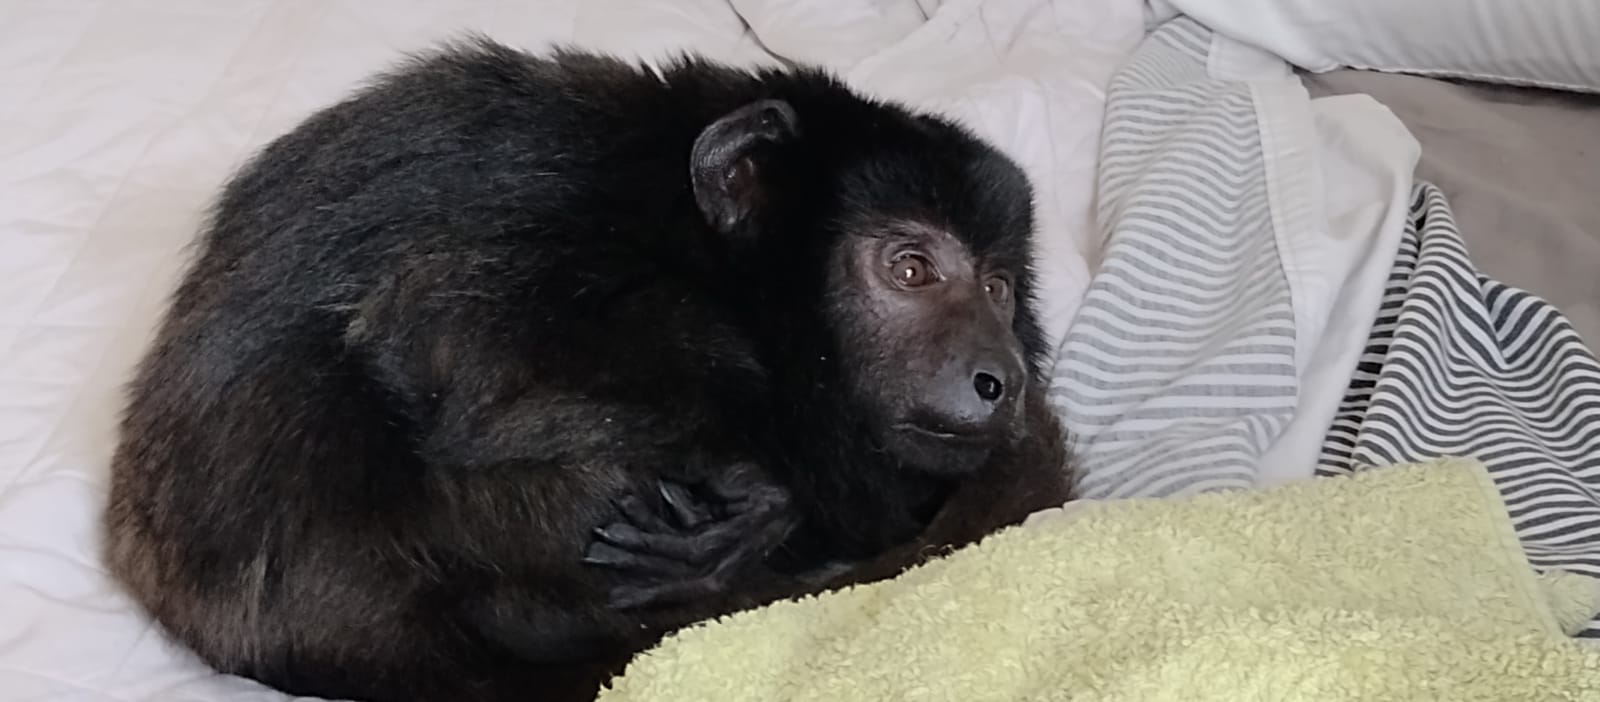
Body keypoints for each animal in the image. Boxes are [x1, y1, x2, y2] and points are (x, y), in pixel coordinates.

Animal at [102, 36, 1073, 702]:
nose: (1002, 374)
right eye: (910, 269)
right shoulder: (566, 209)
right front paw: (766, 493)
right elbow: (436, 337)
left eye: (996, 286)